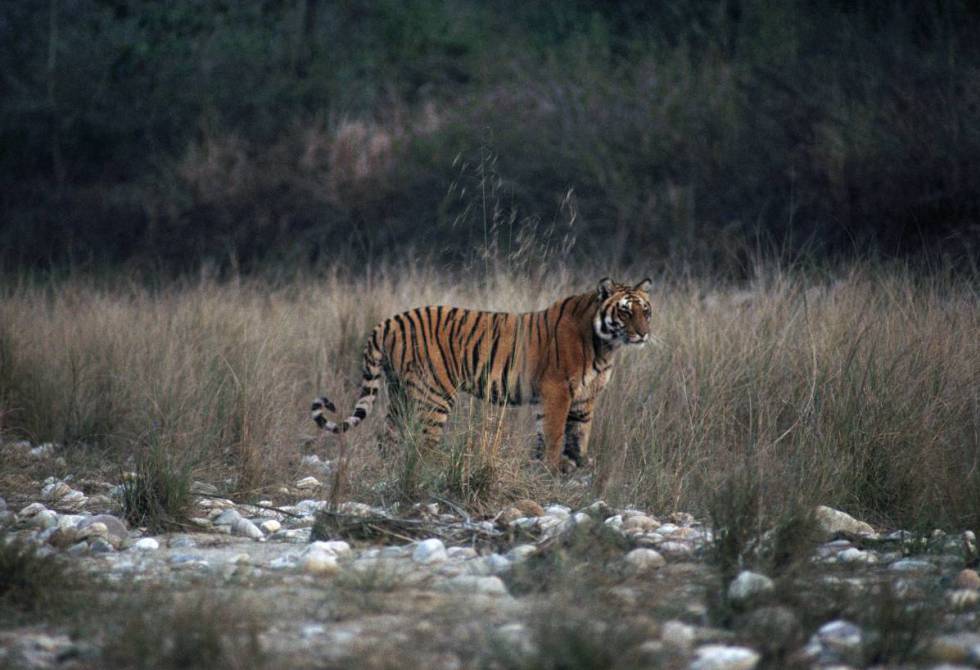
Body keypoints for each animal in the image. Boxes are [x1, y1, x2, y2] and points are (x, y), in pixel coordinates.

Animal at [310, 278, 656, 472]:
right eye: (625, 311)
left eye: (646, 310)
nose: (643, 334)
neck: (605, 345)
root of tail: (388, 321)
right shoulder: (557, 390)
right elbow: (555, 434)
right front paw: (554, 468)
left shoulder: (584, 399)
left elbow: (578, 434)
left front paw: (578, 466)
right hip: (434, 394)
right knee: (423, 442)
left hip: (401, 393)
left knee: (390, 437)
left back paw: (392, 470)